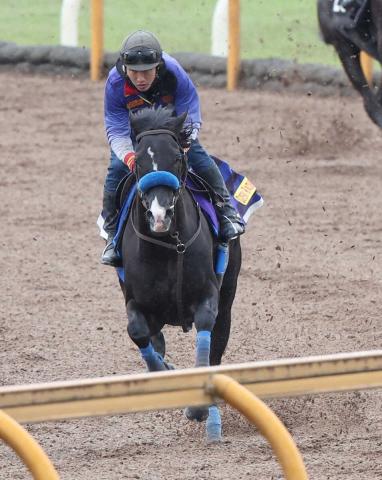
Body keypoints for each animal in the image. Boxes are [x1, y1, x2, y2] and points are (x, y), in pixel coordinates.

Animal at [119, 107, 240, 440]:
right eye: (139, 161)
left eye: (176, 157)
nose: (160, 216)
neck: (168, 246)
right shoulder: (134, 299)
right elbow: (137, 331)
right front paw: (164, 375)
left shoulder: (207, 295)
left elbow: (207, 336)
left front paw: (198, 408)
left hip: (228, 294)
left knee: (216, 346)